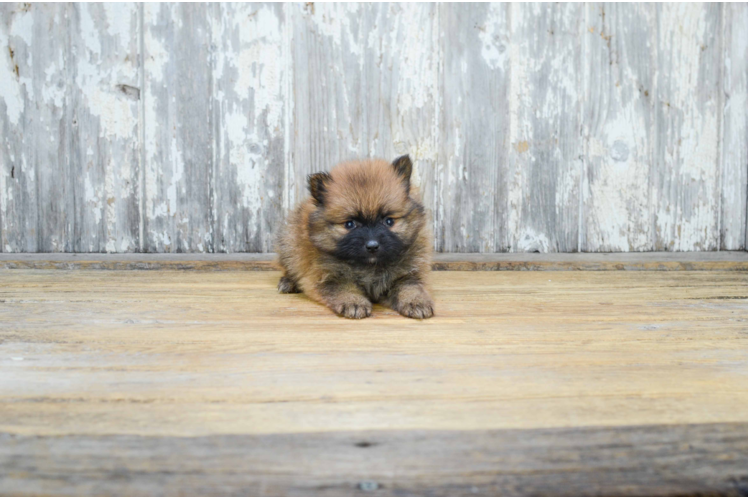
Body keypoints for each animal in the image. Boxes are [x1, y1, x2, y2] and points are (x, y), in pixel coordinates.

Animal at [276, 155, 436, 320]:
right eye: (350, 224)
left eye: (389, 221)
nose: (372, 246)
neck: (369, 266)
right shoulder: (328, 276)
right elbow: (344, 287)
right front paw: (353, 302)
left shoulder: (408, 274)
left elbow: (411, 287)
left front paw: (416, 302)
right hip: (289, 246)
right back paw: (288, 282)